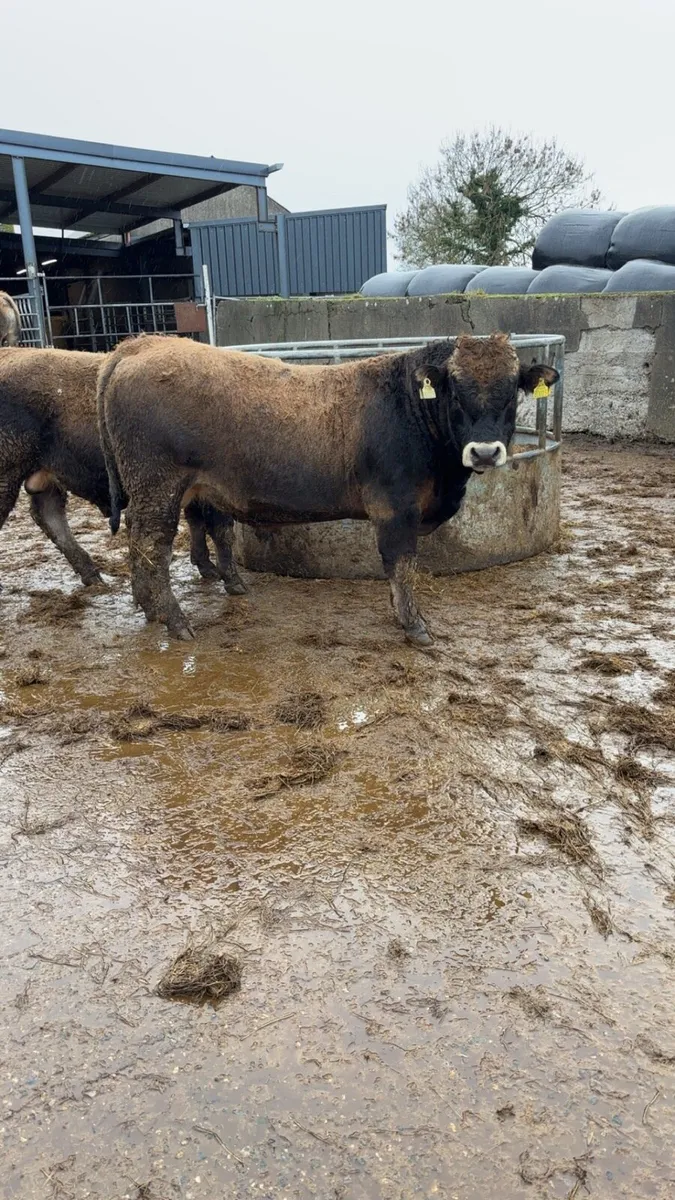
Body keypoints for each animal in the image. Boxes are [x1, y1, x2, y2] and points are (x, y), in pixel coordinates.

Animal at [0, 347, 249, 592]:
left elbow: (198, 524)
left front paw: (207, 567)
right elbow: (220, 530)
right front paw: (233, 580)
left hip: (46, 477)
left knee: (49, 516)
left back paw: (93, 576)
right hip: (9, 475)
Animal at [97, 332, 558, 646]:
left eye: (512, 394)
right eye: (456, 393)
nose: (484, 452)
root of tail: (141, 344)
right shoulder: (395, 509)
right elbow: (401, 566)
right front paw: (414, 625)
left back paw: (150, 609)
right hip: (157, 487)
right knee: (151, 548)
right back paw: (175, 621)